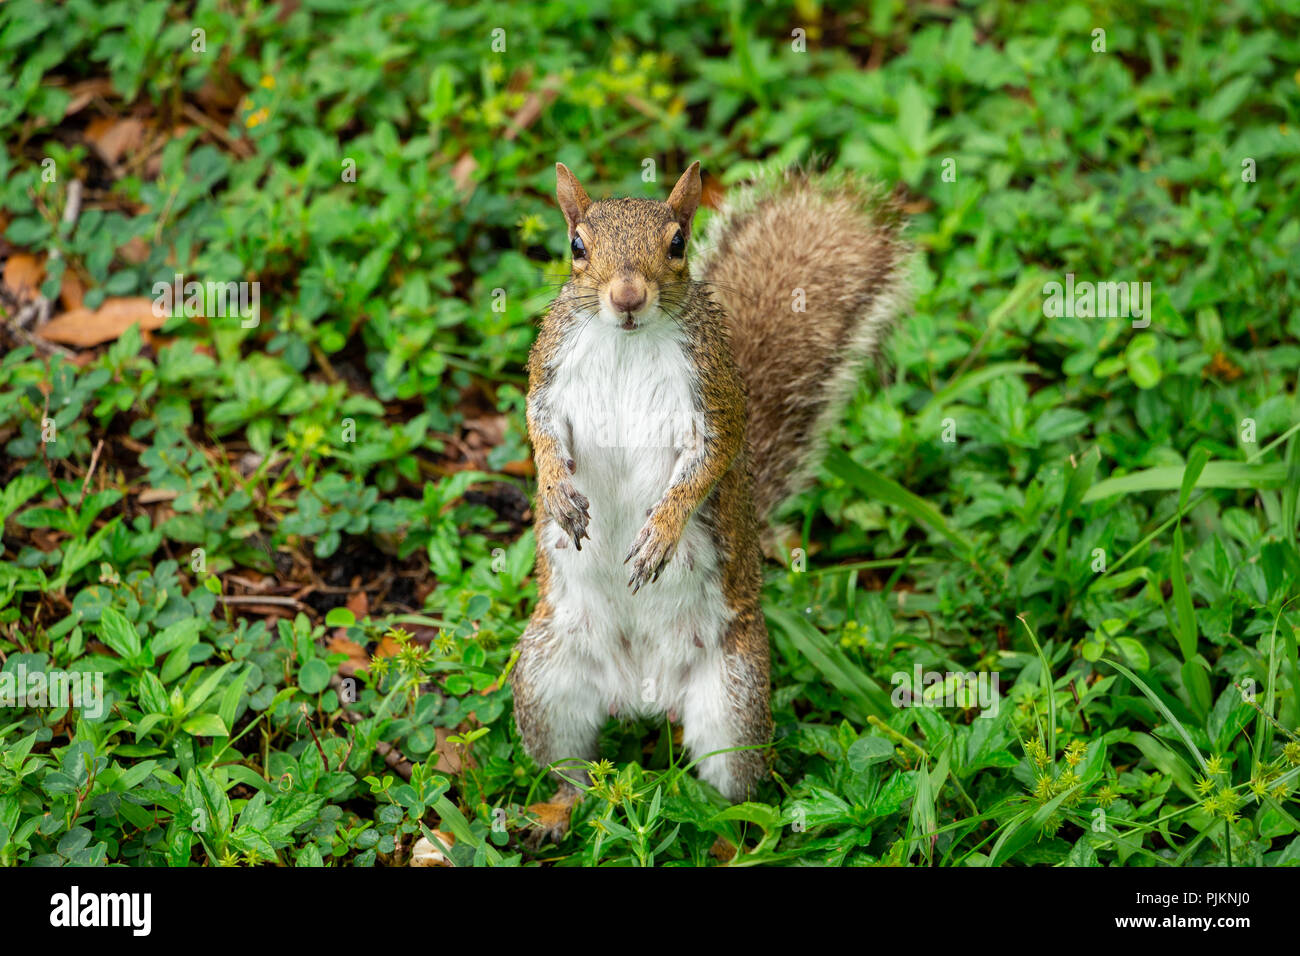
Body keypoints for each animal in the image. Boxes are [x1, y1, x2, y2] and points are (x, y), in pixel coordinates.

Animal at [506, 160, 904, 842]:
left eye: (677, 243)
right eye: (576, 246)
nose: (628, 298)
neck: (626, 341)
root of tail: (641, 695)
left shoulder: (713, 397)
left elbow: (707, 465)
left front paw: (660, 536)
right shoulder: (549, 374)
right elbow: (540, 431)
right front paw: (557, 493)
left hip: (734, 698)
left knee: (735, 790)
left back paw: (730, 834)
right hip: (545, 678)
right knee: (571, 769)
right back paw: (557, 811)